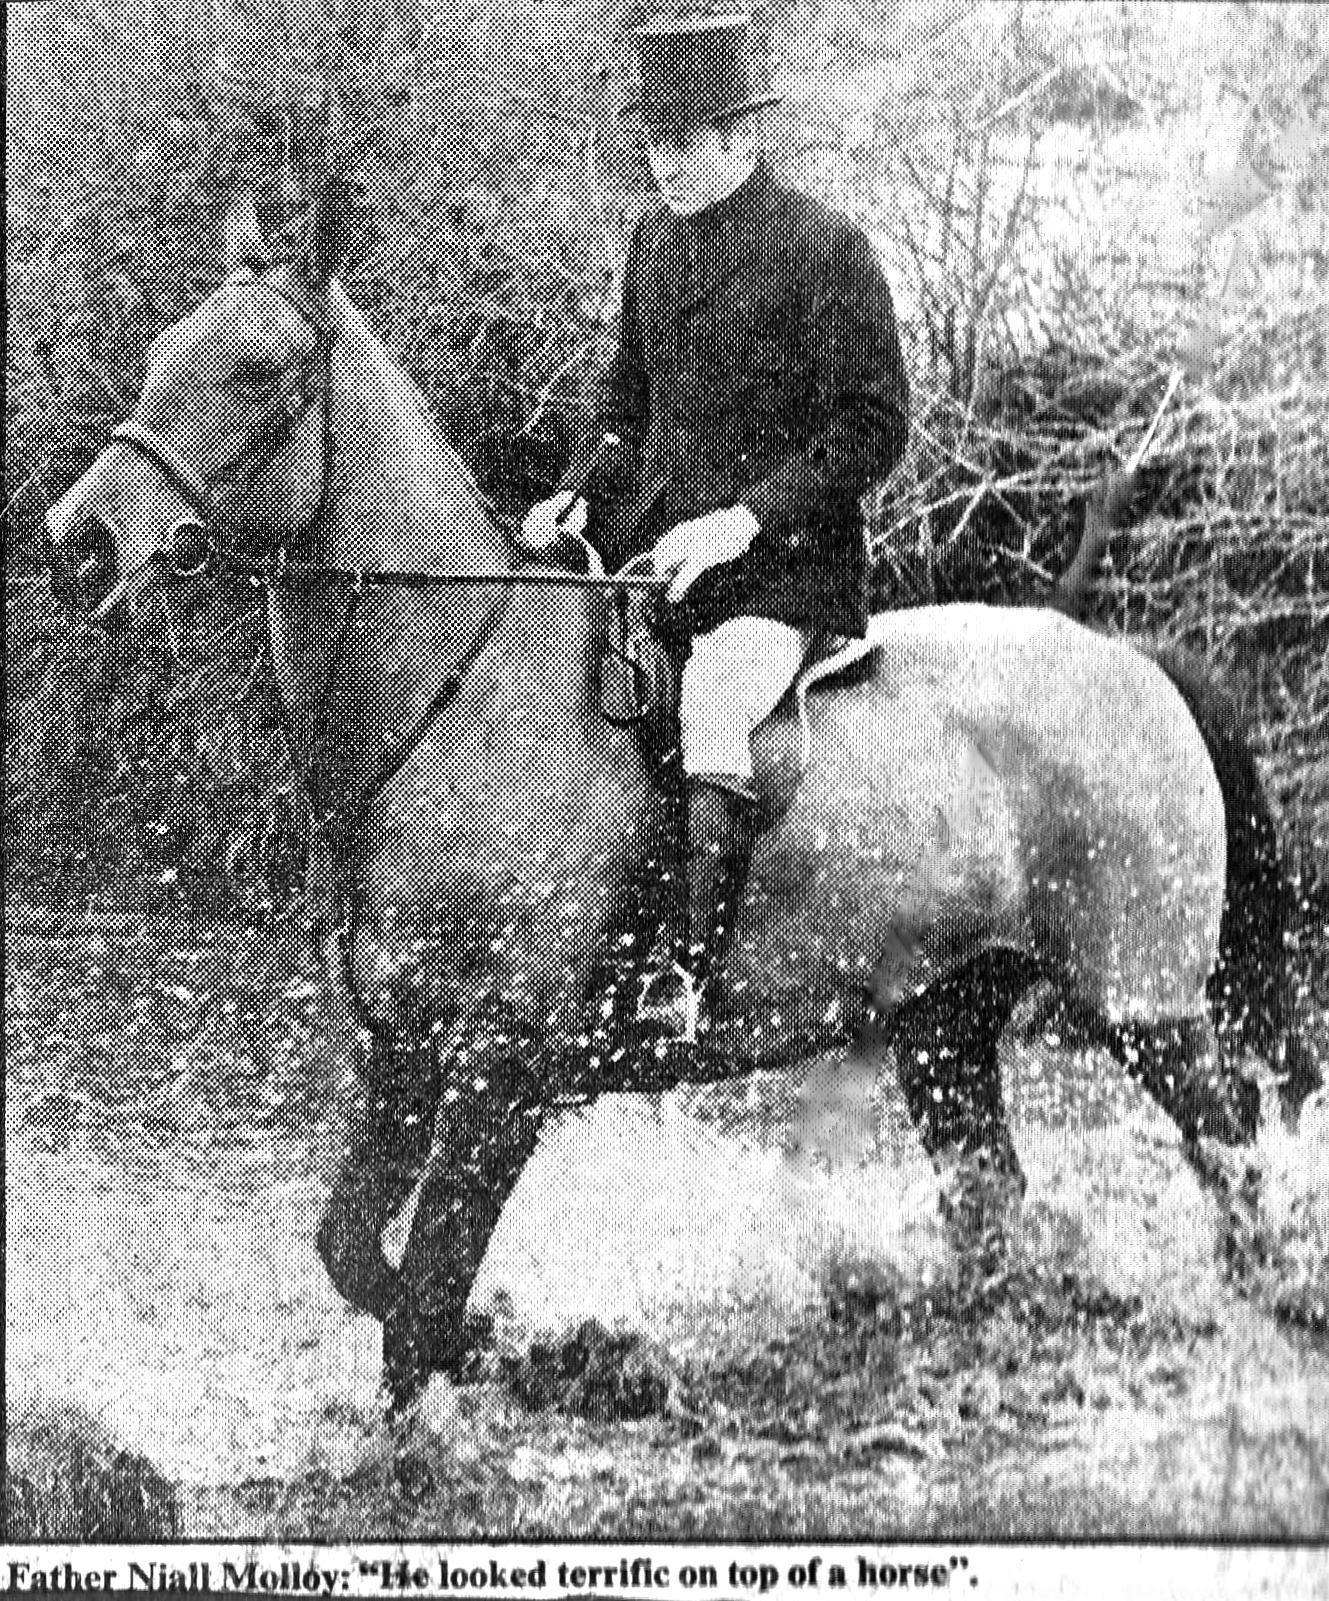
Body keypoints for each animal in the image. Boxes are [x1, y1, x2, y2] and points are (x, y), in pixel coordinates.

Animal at [45, 184, 1315, 1411]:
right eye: (161, 351)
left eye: (256, 370)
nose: (77, 543)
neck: (455, 695)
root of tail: (1135, 661)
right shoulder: (403, 1051)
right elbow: (358, 1254)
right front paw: (519, 1345)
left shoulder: (502, 1068)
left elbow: (418, 1304)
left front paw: (474, 1396)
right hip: (945, 1025)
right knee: (994, 1204)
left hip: (1145, 1008)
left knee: (1237, 1162)